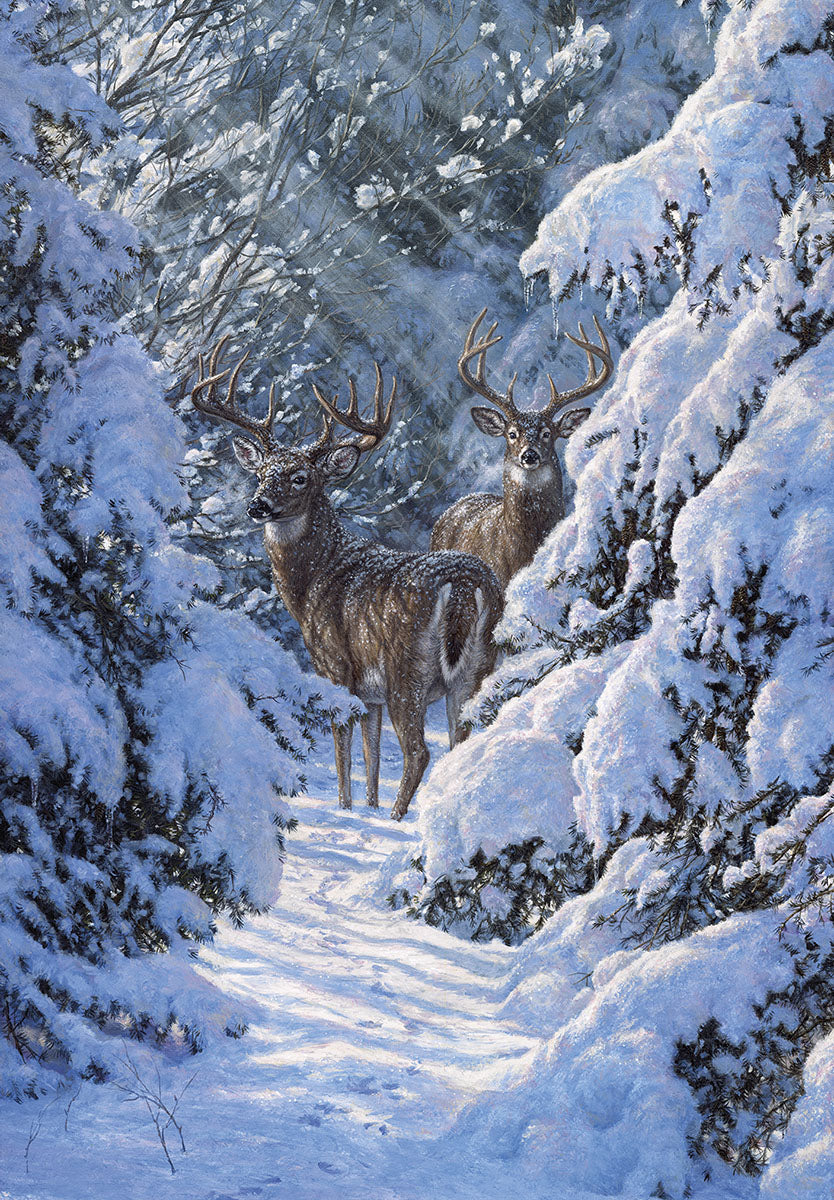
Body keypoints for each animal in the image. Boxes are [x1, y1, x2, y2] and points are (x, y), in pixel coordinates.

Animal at [191, 338, 503, 821]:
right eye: (260, 473)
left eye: (300, 476)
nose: (257, 505)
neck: (311, 584)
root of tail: (465, 583)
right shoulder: (370, 693)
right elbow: (371, 753)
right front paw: (368, 806)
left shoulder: (336, 667)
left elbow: (344, 748)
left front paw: (346, 808)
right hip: (476, 668)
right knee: (461, 742)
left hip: (406, 670)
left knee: (419, 752)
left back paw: (397, 819)